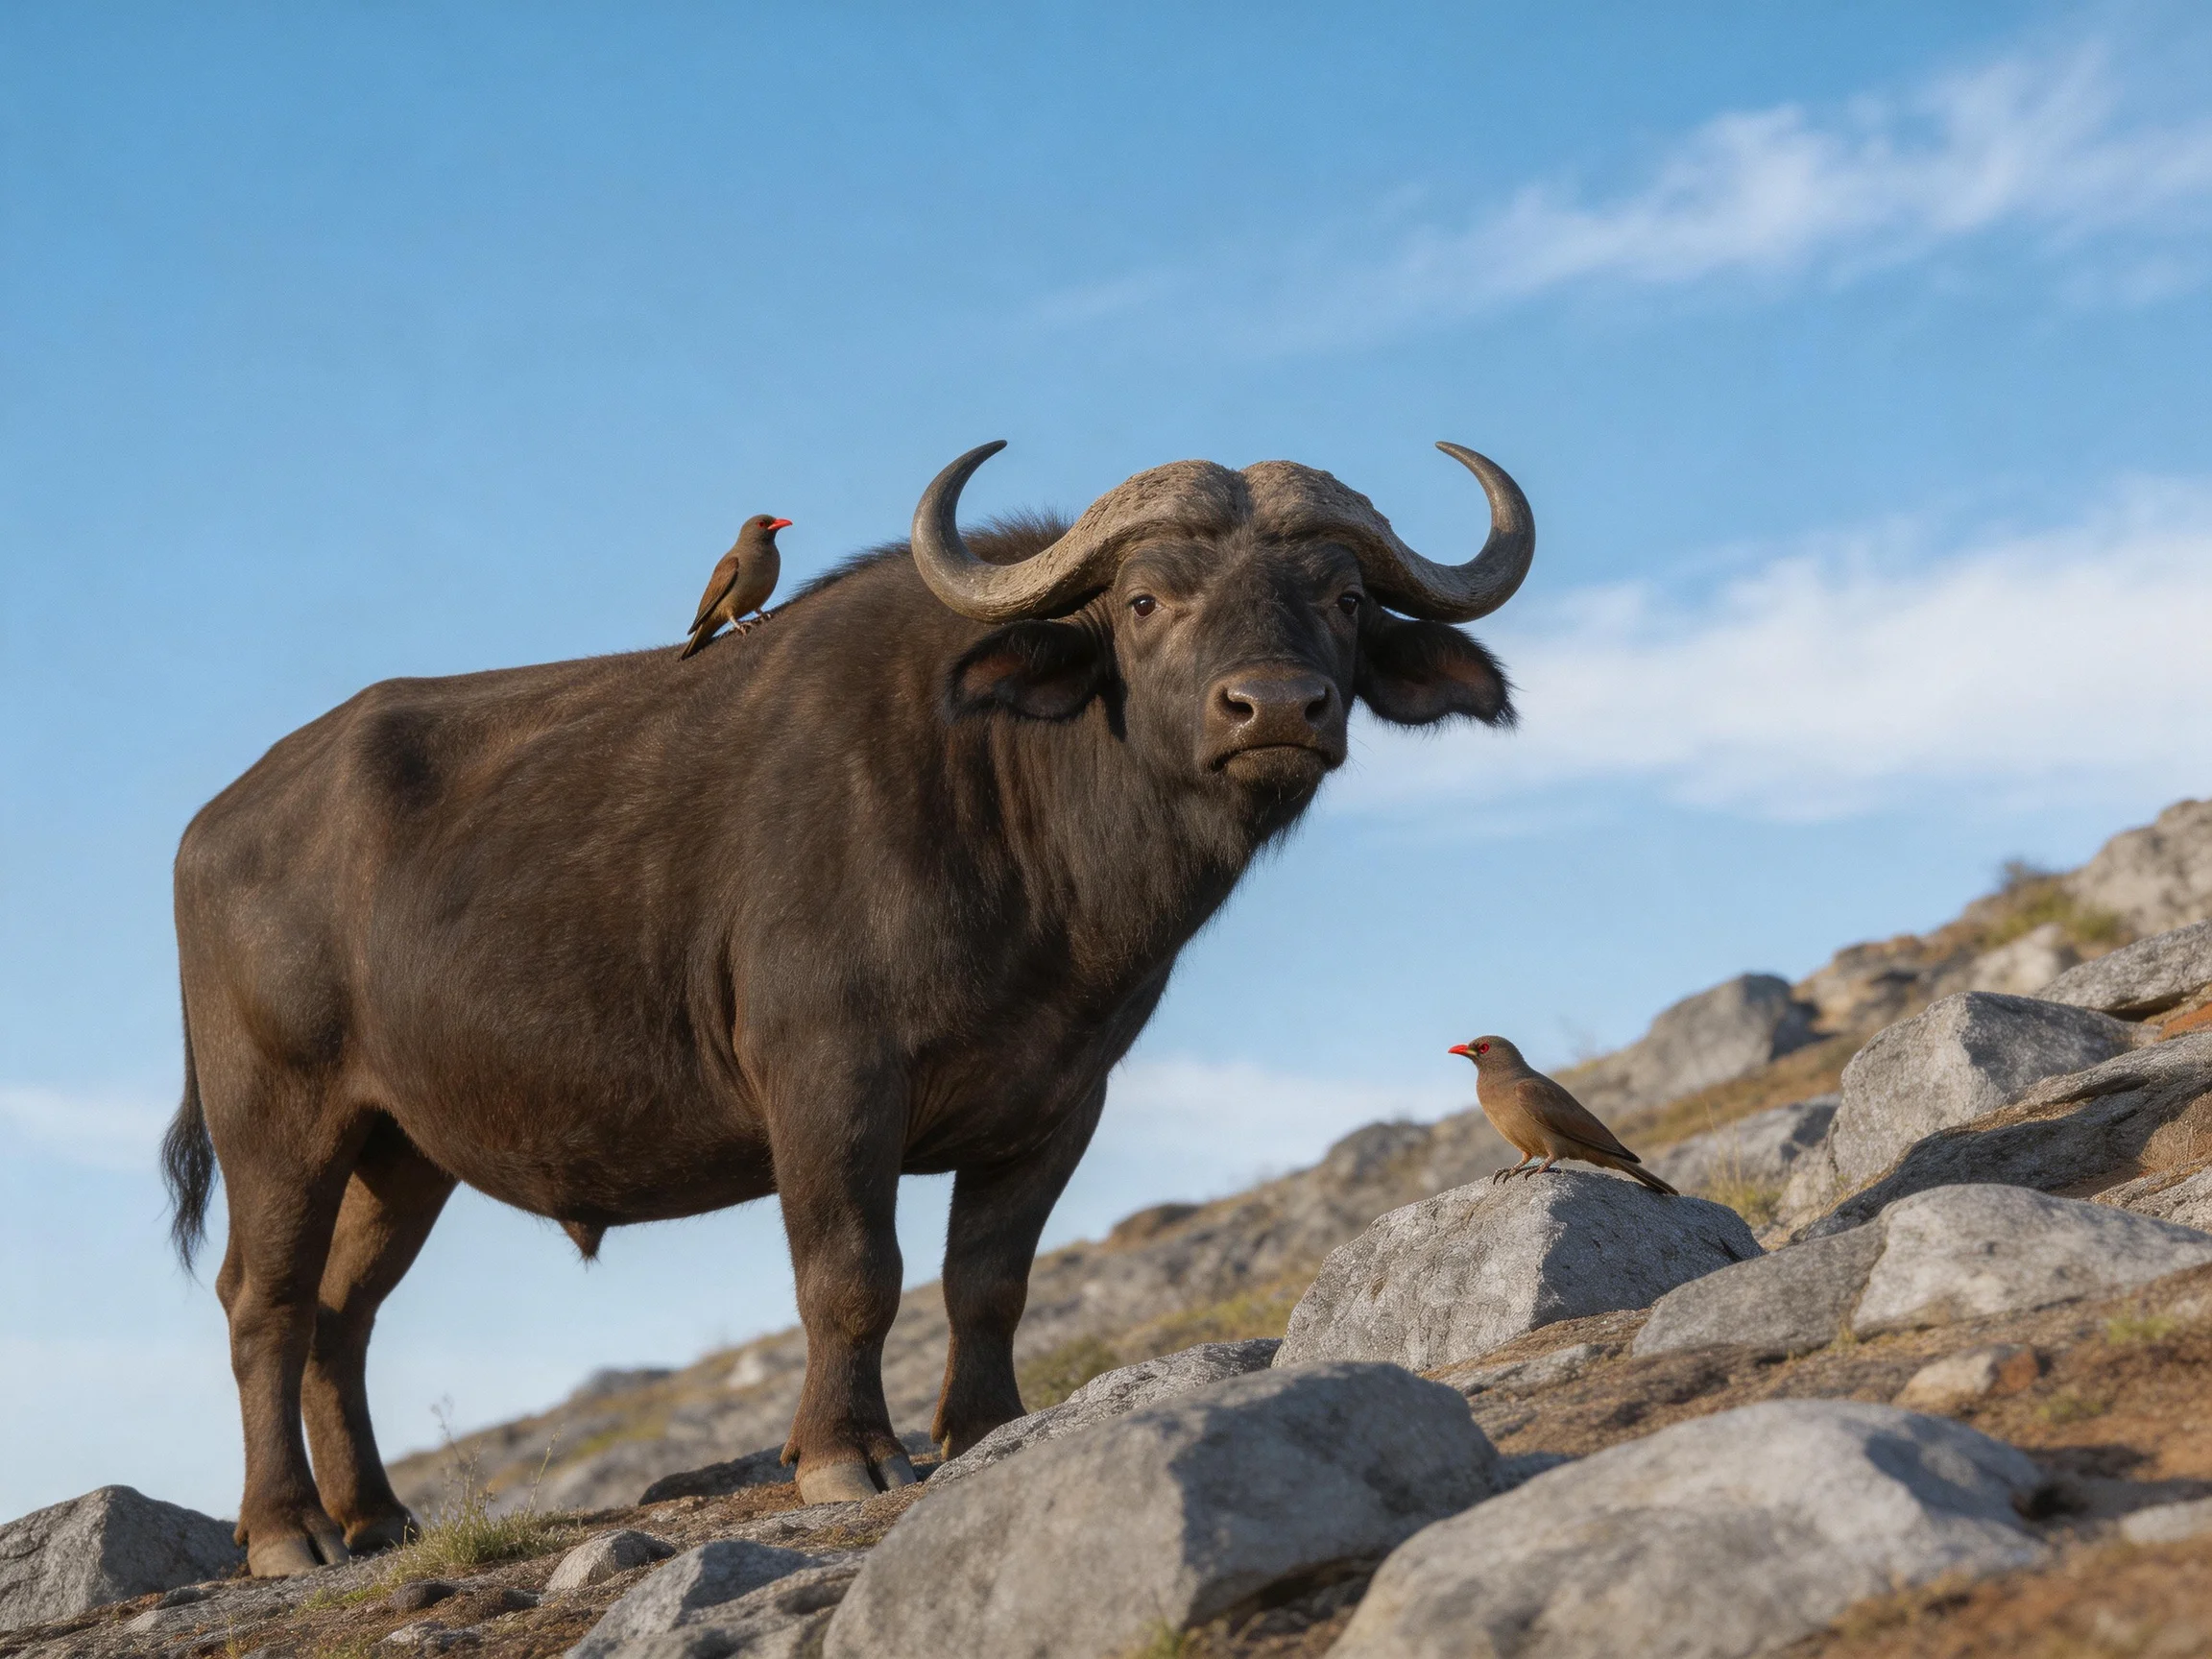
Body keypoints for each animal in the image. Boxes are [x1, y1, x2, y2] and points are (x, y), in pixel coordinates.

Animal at [163, 440, 1532, 1574]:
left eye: (1344, 600)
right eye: (1147, 601)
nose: (1277, 709)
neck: (1014, 812)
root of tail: (214, 823)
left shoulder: (1060, 1103)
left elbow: (989, 1279)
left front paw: (984, 1428)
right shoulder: (828, 1078)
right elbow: (853, 1271)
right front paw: (844, 1453)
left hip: (401, 1149)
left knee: (340, 1316)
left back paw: (376, 1518)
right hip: (277, 1118)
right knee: (262, 1306)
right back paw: (286, 1532)